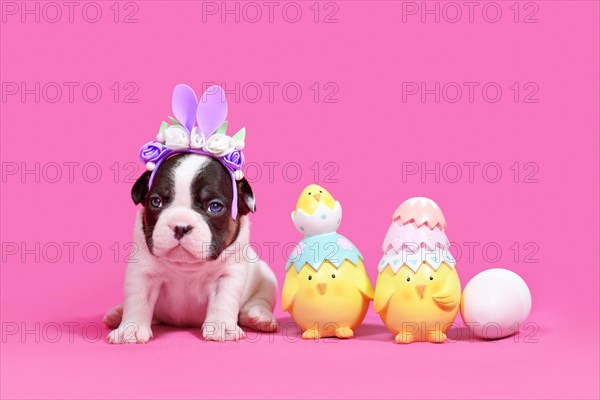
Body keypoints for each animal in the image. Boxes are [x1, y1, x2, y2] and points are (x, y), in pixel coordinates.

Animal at [104, 154, 278, 344]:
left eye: (214, 206)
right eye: (156, 202)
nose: (180, 226)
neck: (186, 266)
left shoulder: (228, 274)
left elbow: (224, 300)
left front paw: (222, 326)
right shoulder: (142, 272)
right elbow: (137, 299)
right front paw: (130, 329)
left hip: (266, 278)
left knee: (261, 299)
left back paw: (258, 317)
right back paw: (117, 314)